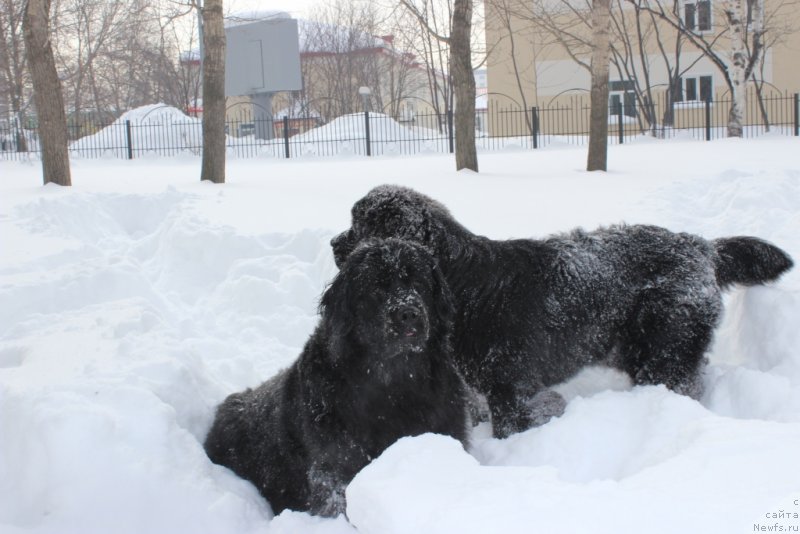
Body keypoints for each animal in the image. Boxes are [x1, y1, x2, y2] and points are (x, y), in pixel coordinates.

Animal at [332, 186, 792, 438]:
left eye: (360, 225)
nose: (335, 243)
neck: (460, 280)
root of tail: (701, 246)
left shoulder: (510, 387)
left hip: (663, 347)